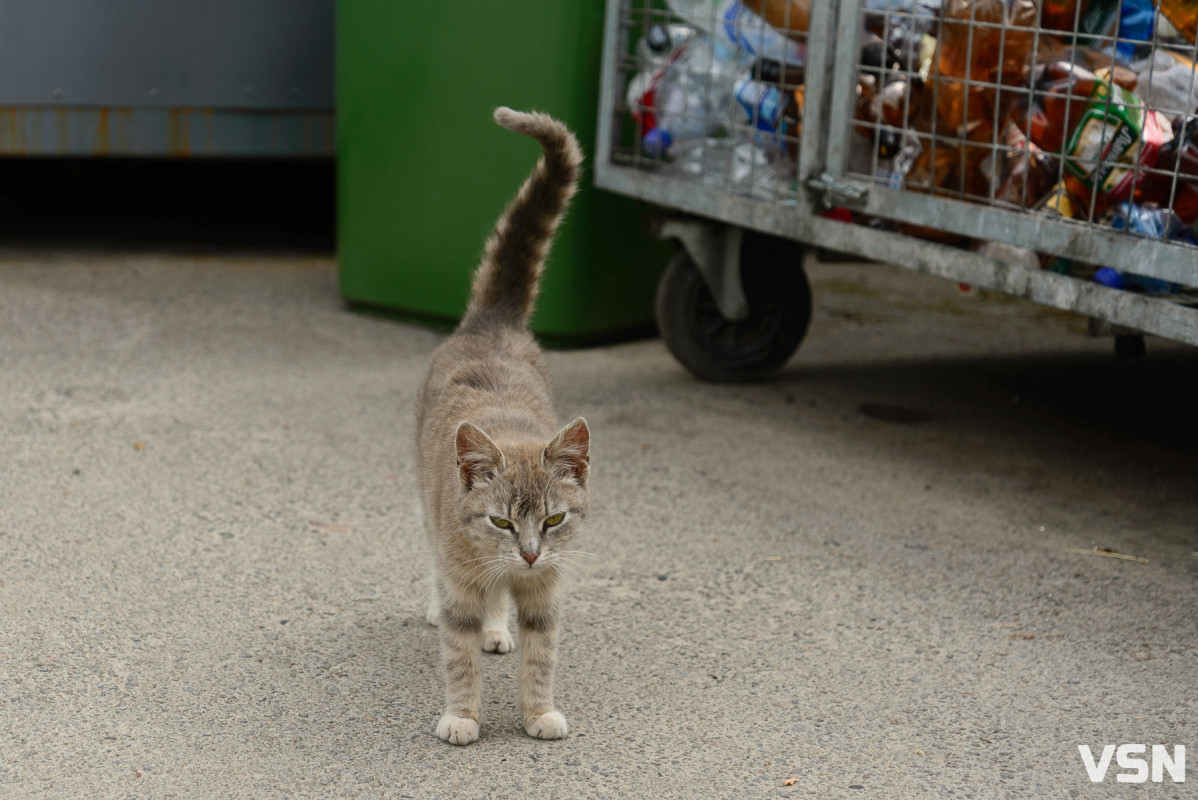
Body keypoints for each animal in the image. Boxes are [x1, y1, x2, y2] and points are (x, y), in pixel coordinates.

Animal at [416, 104, 589, 742]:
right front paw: (463, 717)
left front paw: (538, 712)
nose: (531, 553)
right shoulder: (465, 572)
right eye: (500, 521)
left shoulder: (546, 589)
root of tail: (492, 320)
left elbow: (541, 655)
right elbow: (458, 655)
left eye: (556, 518)